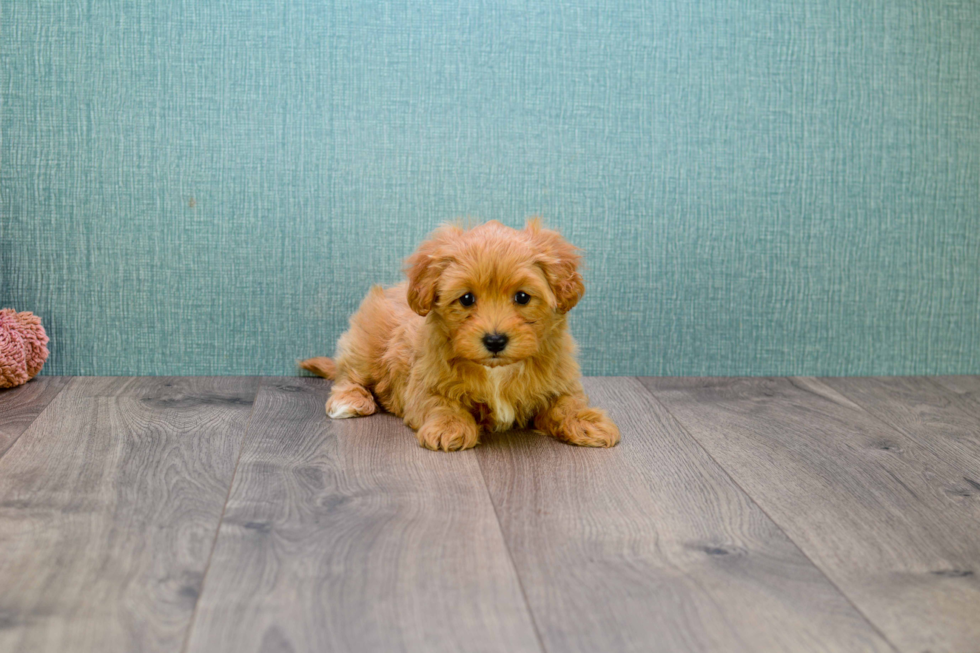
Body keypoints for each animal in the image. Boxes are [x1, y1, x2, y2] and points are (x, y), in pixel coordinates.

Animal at [298, 216, 620, 450]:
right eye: (466, 299)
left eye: (522, 297)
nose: (495, 340)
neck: (496, 372)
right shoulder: (425, 383)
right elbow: (441, 403)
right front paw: (449, 427)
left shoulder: (560, 379)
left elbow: (568, 402)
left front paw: (587, 422)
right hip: (366, 346)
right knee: (348, 375)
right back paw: (349, 400)